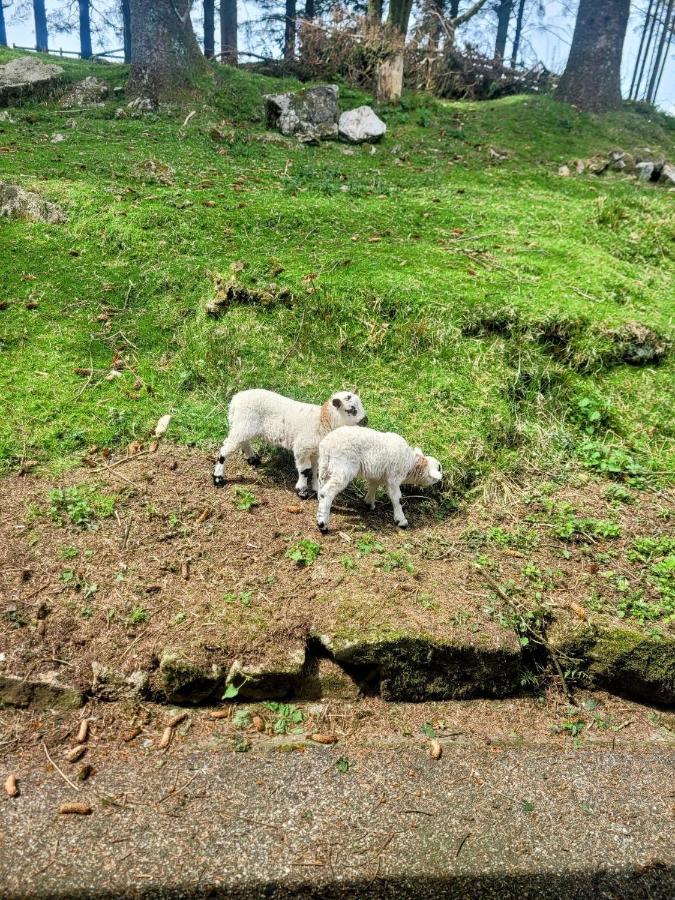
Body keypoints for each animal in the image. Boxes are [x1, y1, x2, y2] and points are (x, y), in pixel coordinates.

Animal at [213, 388, 368, 500]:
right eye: (351, 409)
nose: (365, 421)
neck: (323, 420)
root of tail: (236, 399)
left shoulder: (316, 451)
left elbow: (316, 470)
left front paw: (316, 488)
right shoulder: (302, 448)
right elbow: (305, 470)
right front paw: (302, 492)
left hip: (245, 426)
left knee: (243, 441)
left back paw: (253, 459)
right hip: (243, 423)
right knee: (226, 448)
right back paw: (218, 477)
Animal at [316, 426, 444, 532]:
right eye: (439, 467)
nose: (441, 481)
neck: (410, 464)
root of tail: (327, 445)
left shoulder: (377, 475)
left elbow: (373, 486)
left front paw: (369, 502)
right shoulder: (394, 477)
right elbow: (396, 497)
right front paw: (401, 520)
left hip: (325, 467)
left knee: (321, 490)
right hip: (343, 467)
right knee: (327, 492)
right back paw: (322, 524)